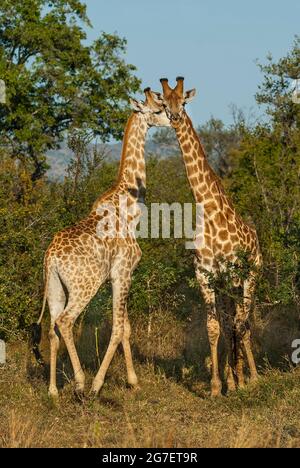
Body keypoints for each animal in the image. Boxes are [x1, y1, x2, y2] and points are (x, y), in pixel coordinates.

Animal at [34, 88, 170, 398]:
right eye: (158, 108)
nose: (173, 119)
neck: (130, 205)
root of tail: (51, 258)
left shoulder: (117, 277)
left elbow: (126, 327)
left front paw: (133, 381)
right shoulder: (123, 272)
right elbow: (118, 329)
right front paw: (99, 384)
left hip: (55, 286)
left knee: (51, 328)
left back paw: (53, 390)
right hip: (84, 285)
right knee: (65, 322)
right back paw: (81, 383)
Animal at [149, 77, 262, 394]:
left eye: (183, 102)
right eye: (164, 104)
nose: (175, 117)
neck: (209, 210)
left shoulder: (233, 272)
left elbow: (238, 325)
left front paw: (242, 381)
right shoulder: (206, 275)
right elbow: (214, 327)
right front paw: (216, 386)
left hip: (251, 275)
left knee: (244, 322)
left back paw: (250, 376)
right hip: (228, 285)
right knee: (231, 321)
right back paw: (234, 377)